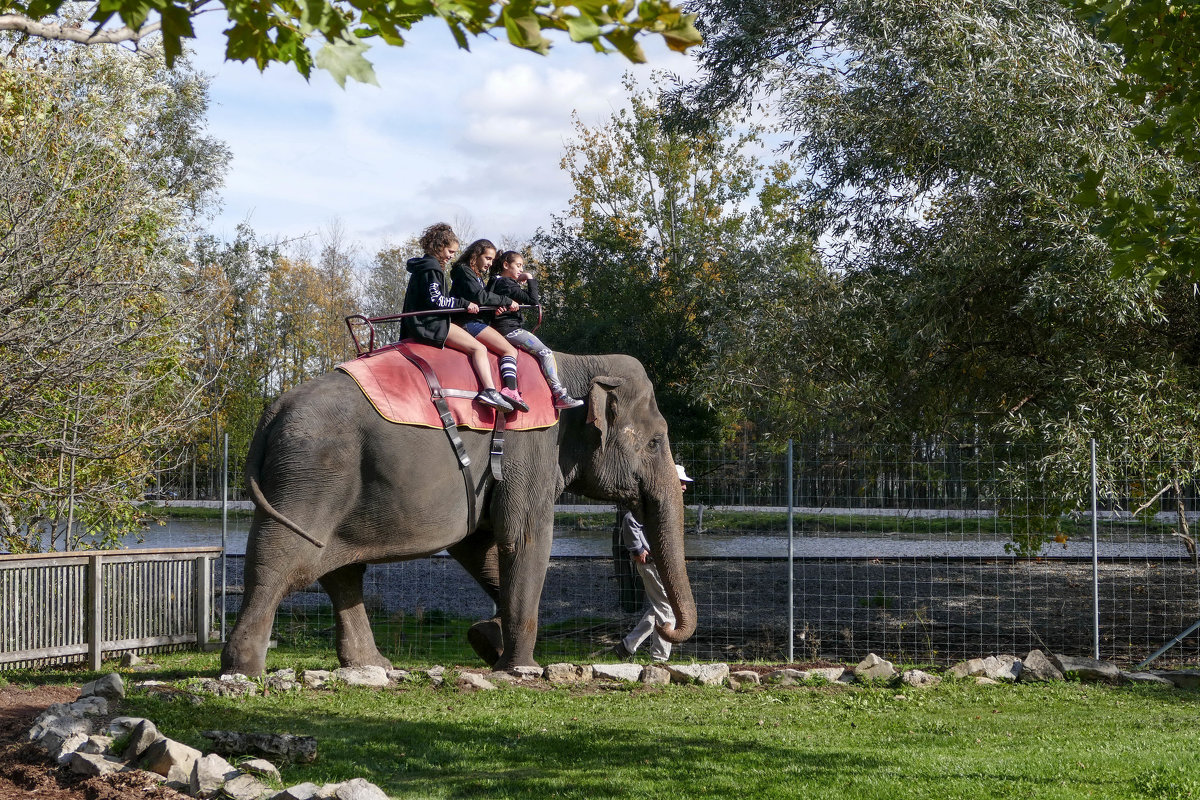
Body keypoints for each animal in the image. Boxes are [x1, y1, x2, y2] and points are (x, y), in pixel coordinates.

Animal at [220, 352, 700, 676]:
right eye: (656, 442)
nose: (669, 628)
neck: (575, 365)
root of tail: (271, 412)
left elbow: (476, 547)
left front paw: (486, 638)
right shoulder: (531, 447)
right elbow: (525, 538)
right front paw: (519, 667)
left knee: (339, 570)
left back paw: (373, 666)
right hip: (311, 476)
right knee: (281, 558)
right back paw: (243, 670)